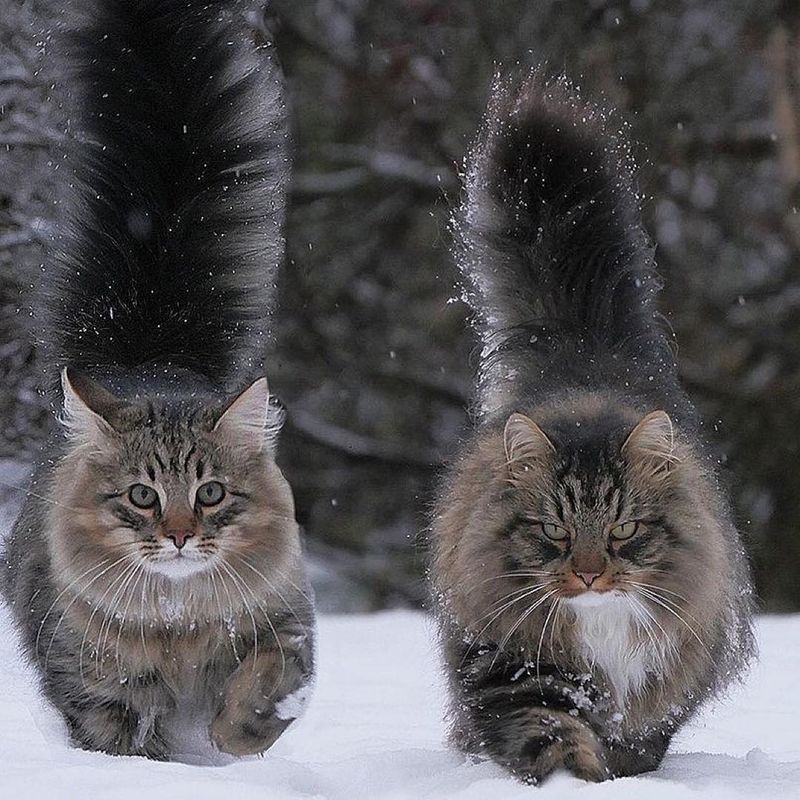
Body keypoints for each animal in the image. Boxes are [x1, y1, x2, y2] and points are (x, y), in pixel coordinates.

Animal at [0, 0, 316, 760]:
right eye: (143, 496)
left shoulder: (287, 622)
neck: (178, 623)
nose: (176, 535)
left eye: (211, 493)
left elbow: (262, 681)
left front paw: (237, 735)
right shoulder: (93, 683)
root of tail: (149, 355)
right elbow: (125, 743)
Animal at [428, 72, 752, 784]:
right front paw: (578, 778)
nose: (588, 575)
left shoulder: (666, 678)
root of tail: (582, 347)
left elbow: (641, 738)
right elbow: (549, 730)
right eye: (555, 531)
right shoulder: (511, 664)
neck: (601, 627)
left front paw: (623, 777)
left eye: (624, 530)